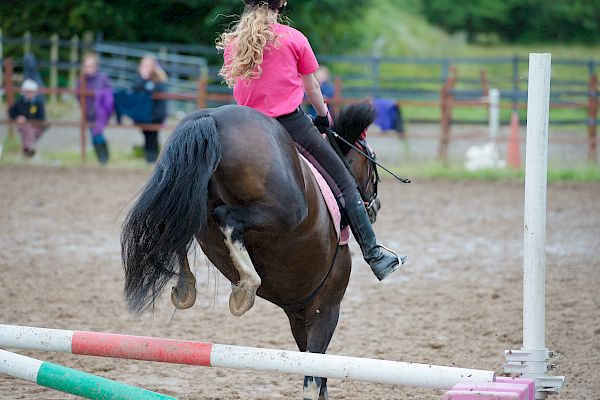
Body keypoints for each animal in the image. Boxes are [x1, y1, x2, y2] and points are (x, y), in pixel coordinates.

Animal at [122, 101, 382, 398]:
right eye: (371, 163)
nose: (375, 206)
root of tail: (212, 116)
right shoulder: (325, 308)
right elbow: (315, 377)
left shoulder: (299, 315)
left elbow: (316, 370)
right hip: (285, 210)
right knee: (226, 218)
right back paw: (246, 284)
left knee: (177, 223)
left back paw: (188, 285)